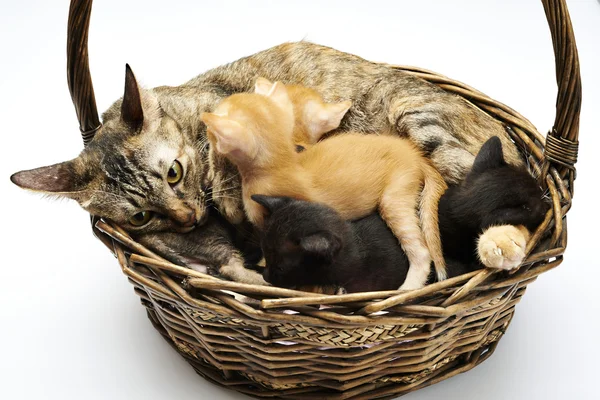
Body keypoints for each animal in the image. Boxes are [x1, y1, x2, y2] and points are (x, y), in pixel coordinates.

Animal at [200, 80, 446, 290]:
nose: (206, 130)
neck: (284, 160)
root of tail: (416, 156)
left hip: (394, 197)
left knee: (421, 251)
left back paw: (408, 287)